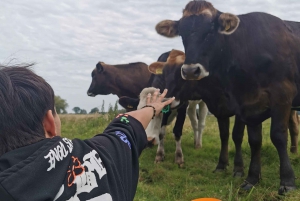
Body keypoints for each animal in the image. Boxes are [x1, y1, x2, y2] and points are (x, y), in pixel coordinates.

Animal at [155, 0, 300, 195]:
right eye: (182, 33)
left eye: (210, 31)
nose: (190, 71)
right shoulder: (246, 104)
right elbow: (250, 140)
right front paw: (249, 178)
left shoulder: (281, 94)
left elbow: (274, 135)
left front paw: (287, 181)